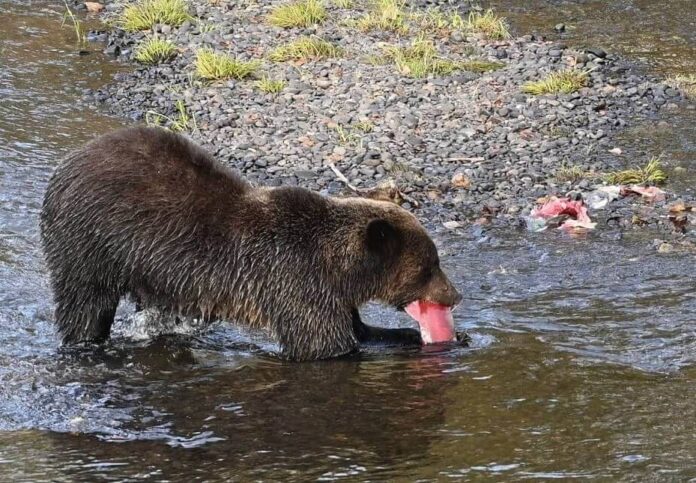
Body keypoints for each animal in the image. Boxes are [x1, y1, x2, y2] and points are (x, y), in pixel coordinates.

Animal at [39, 126, 462, 362]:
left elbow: (360, 331)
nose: (455, 295)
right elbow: (324, 344)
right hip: (91, 242)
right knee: (84, 304)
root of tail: (67, 161)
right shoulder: (296, 281)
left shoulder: (330, 293)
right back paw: (85, 341)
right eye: (430, 265)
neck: (339, 268)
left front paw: (437, 338)